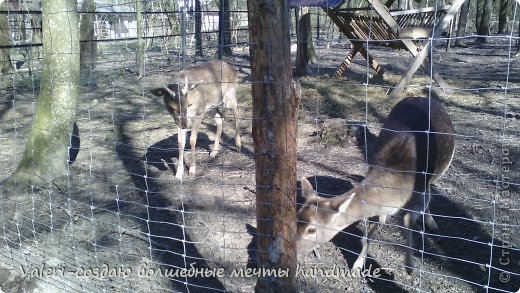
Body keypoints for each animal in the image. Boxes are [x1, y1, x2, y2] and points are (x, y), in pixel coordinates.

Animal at [296, 96, 456, 272]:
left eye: (311, 229)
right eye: (296, 216)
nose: (292, 248)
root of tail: (424, 97)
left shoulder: (420, 191)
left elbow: (408, 219)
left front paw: (409, 266)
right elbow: (370, 233)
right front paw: (357, 266)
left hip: (441, 169)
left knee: (431, 189)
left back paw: (432, 223)